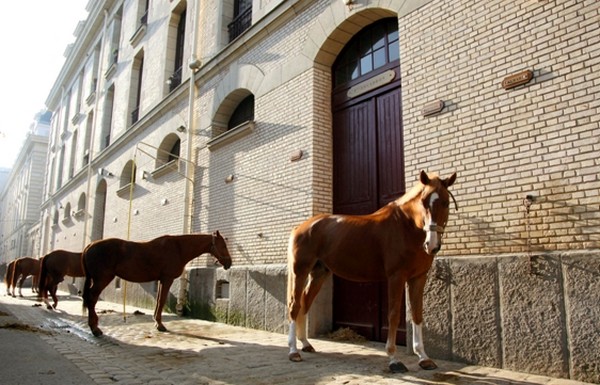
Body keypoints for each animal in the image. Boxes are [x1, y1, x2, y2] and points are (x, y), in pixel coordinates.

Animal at [83, 231, 233, 336]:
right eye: (223, 245)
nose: (229, 263)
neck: (179, 248)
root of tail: (90, 246)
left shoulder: (161, 280)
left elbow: (158, 300)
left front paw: (156, 322)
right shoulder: (167, 279)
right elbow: (161, 300)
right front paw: (160, 325)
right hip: (102, 279)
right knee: (92, 298)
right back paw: (95, 328)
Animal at [288, 170, 458, 372]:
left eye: (446, 202)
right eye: (423, 201)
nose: (431, 245)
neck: (406, 227)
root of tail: (301, 227)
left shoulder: (418, 277)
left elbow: (417, 314)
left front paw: (424, 358)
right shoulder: (396, 277)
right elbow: (394, 315)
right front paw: (394, 359)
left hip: (319, 273)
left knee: (305, 302)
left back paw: (306, 344)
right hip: (300, 271)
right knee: (294, 305)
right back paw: (293, 352)